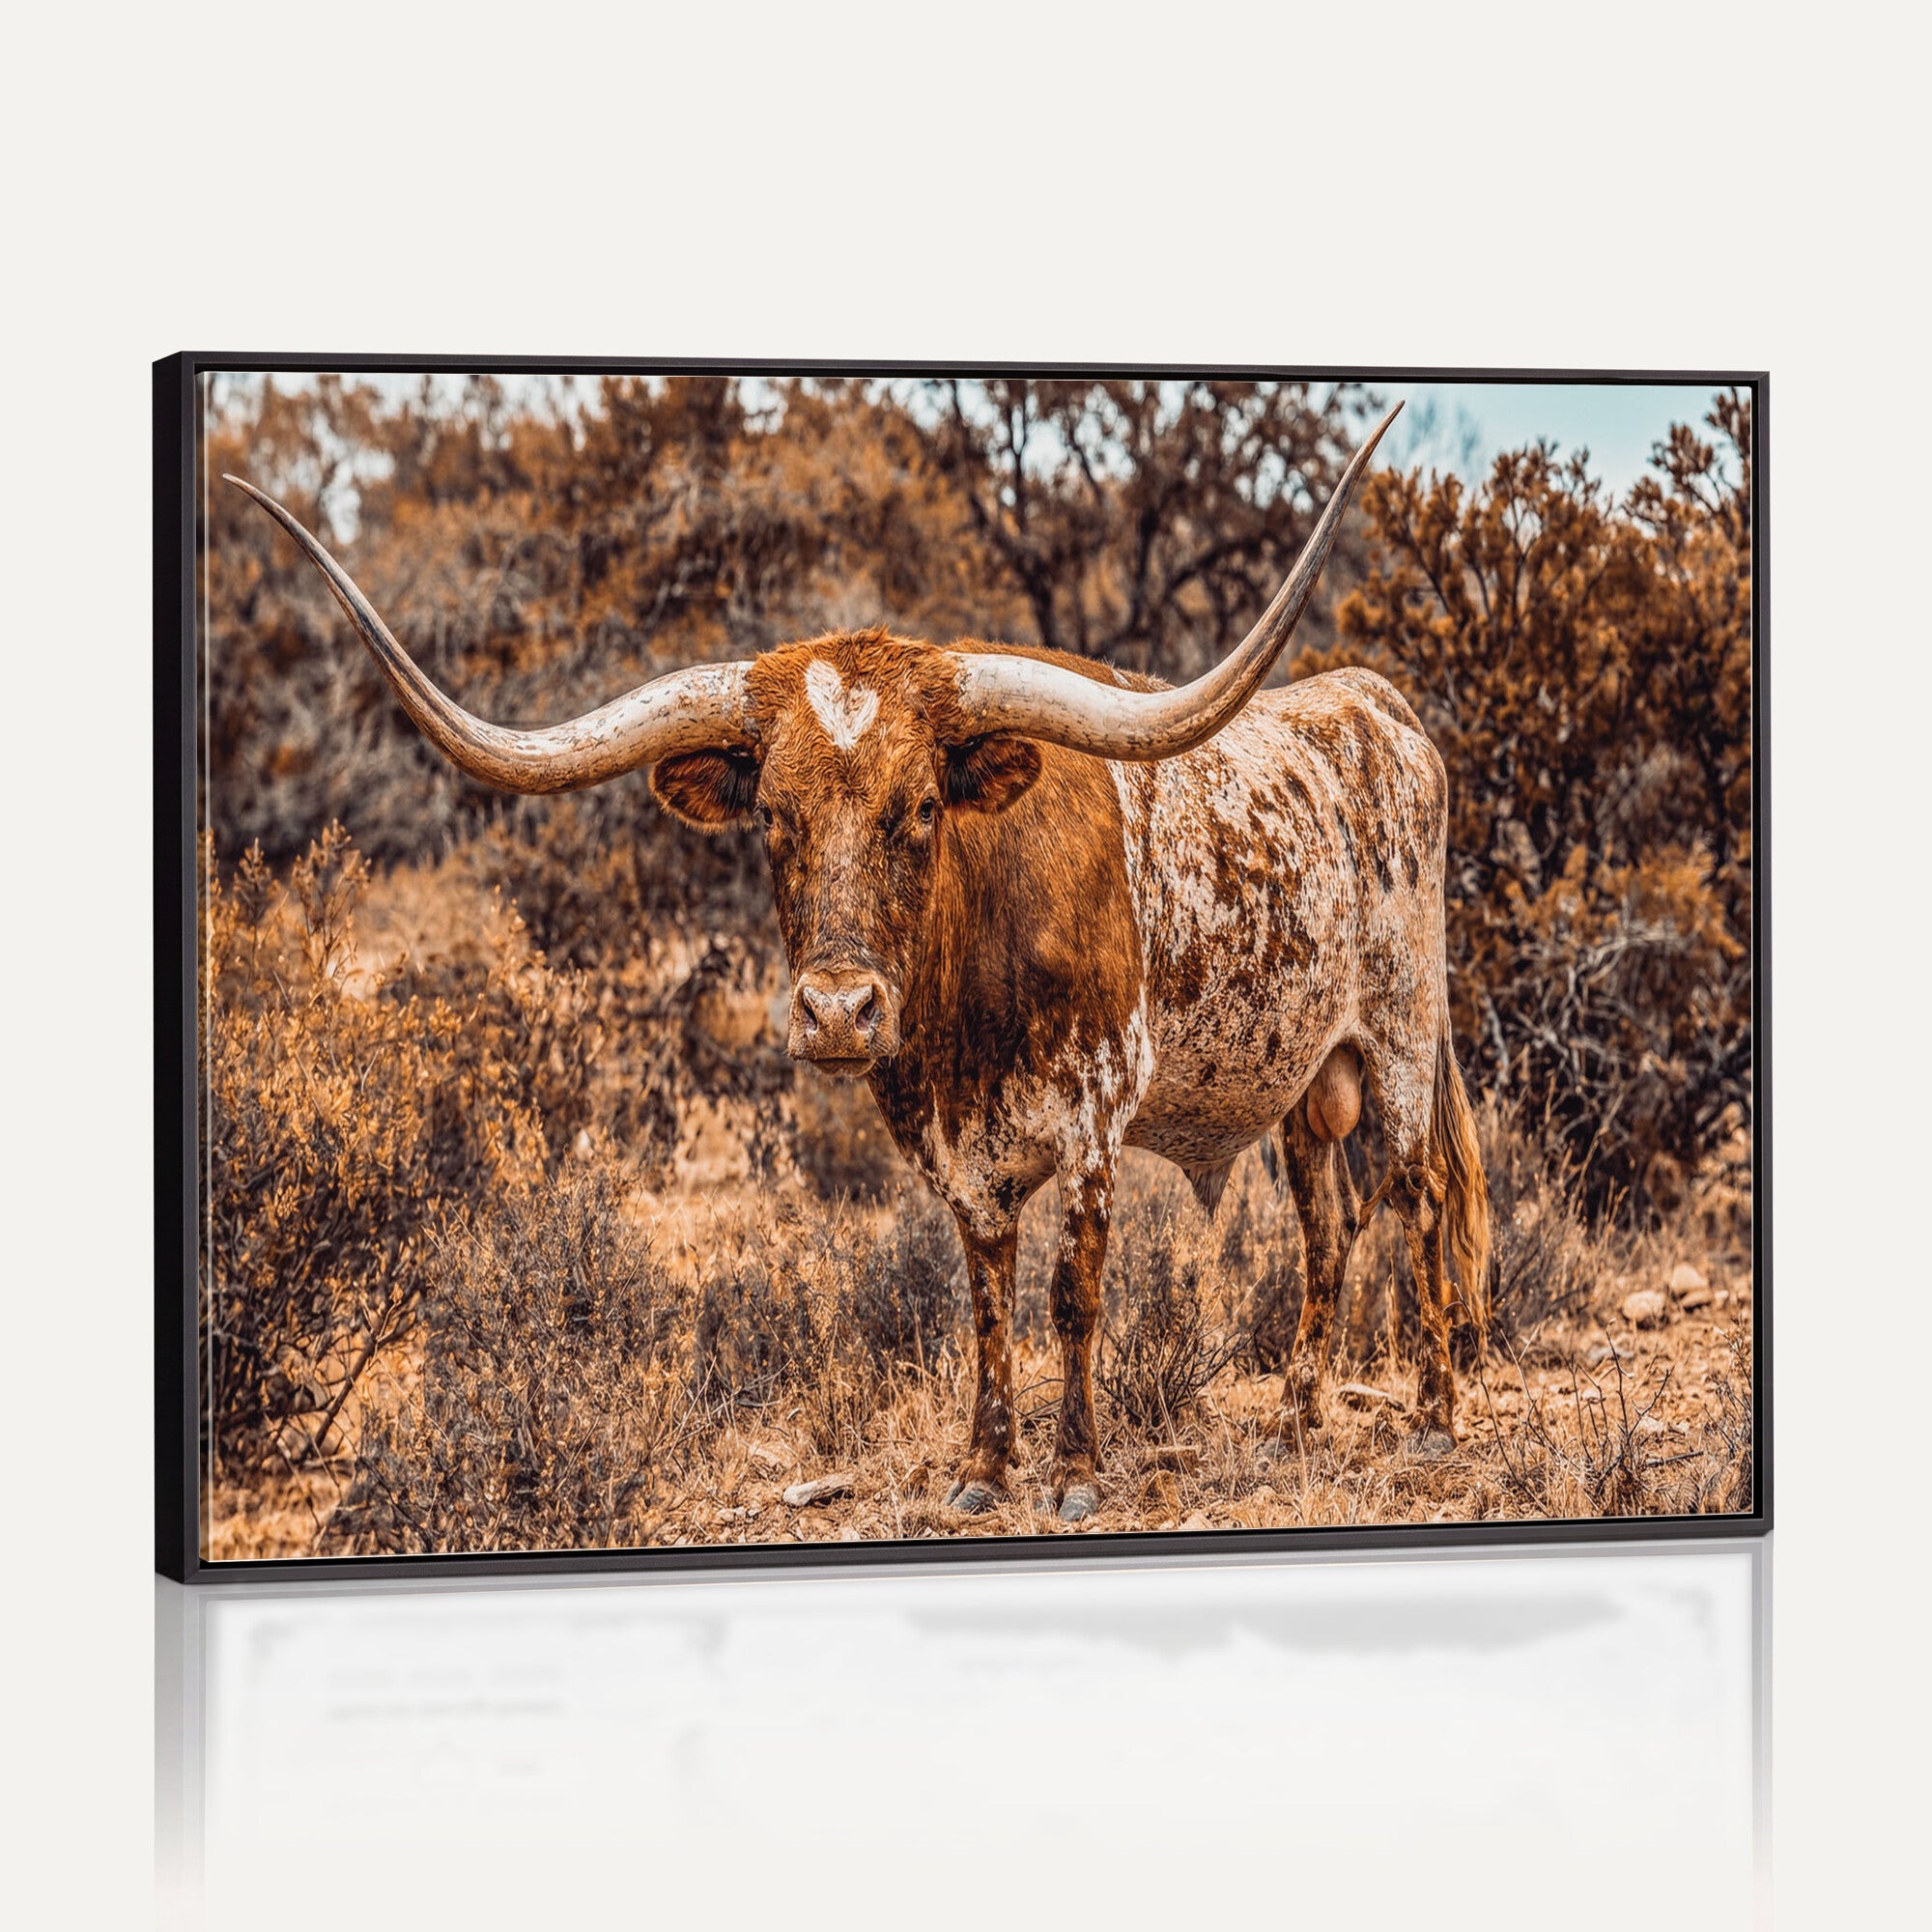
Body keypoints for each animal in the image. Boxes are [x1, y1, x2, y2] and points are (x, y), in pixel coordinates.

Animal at [227, 398, 1490, 1523]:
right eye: (772, 816)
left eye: (920, 805)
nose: (838, 1010)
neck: (966, 1012)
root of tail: (1375, 703)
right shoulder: (957, 1151)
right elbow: (986, 1293)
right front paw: (982, 1467)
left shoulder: (1092, 1116)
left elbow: (1071, 1294)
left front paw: (1078, 1471)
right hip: (1302, 1077)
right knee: (1328, 1219)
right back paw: (1296, 1410)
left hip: (1397, 1040)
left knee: (1418, 1192)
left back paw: (1431, 1411)